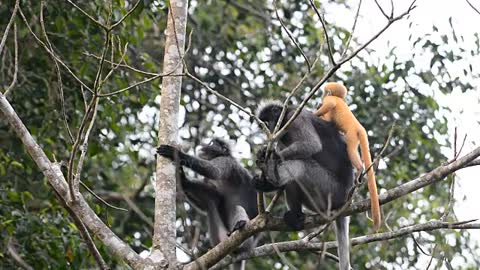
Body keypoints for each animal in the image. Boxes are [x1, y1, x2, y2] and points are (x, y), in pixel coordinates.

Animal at [157, 139, 258, 270]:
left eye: (212, 143)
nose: (204, 144)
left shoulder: (227, 162)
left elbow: (213, 171)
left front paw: (177, 153)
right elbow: (206, 203)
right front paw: (182, 179)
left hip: (247, 240)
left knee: (235, 207)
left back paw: (240, 226)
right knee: (214, 200)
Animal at [256, 100, 354, 270]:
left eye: (267, 122)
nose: (269, 129)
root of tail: (346, 199)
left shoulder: (296, 118)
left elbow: (311, 145)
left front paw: (270, 157)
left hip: (330, 190)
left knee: (300, 165)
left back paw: (271, 177)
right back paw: (295, 215)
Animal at [316, 82, 382, 232]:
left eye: (324, 92)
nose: (321, 95)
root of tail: (360, 127)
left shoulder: (330, 100)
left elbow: (329, 106)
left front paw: (315, 112)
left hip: (351, 134)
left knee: (350, 151)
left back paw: (359, 169)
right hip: (355, 136)